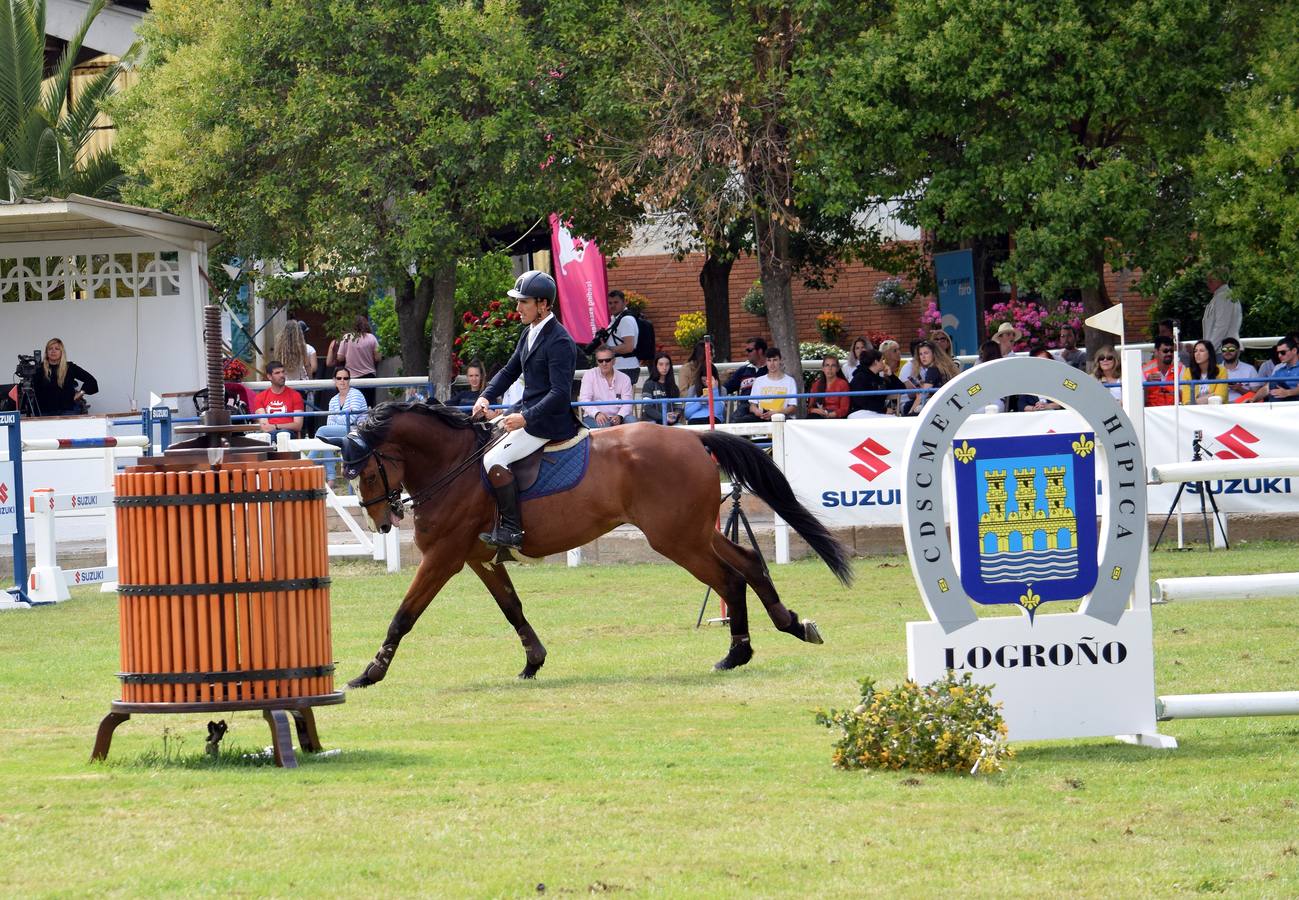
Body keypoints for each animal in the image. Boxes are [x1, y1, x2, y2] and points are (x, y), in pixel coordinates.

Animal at [332, 402, 852, 685]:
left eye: (369, 472)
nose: (382, 523)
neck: (453, 466)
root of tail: (693, 439)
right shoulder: (480, 558)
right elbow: (512, 607)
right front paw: (533, 662)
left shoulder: (443, 557)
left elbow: (404, 614)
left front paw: (370, 673)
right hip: (694, 532)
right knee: (748, 563)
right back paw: (789, 625)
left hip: (676, 540)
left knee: (728, 578)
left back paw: (737, 652)